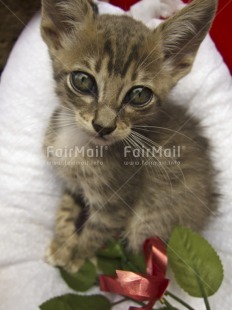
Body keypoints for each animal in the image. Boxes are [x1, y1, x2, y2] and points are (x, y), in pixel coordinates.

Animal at [41, 0, 218, 272]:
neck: (78, 142)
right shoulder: (72, 182)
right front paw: (61, 243)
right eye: (82, 80)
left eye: (139, 95)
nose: (103, 126)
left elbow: (97, 230)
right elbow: (66, 208)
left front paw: (78, 257)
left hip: (151, 221)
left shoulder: (116, 202)